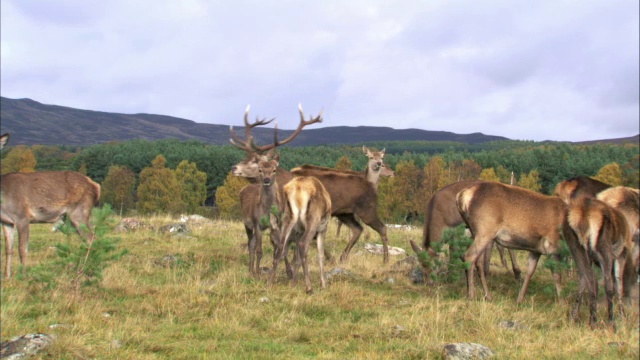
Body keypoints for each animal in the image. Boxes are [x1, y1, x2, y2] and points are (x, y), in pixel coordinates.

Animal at [0, 132, 101, 278]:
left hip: (79, 211)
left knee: (91, 238)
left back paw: (87, 270)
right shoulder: (6, 221)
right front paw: (7, 277)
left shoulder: (22, 217)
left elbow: (22, 249)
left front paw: (23, 276)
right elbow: (8, 249)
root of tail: (96, 186)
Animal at [564, 194, 632, 330]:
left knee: (588, 278)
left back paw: (586, 319)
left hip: (576, 248)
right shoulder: (622, 254)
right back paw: (610, 322)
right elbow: (619, 285)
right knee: (606, 283)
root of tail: (582, 216)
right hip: (604, 249)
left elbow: (582, 283)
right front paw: (623, 316)